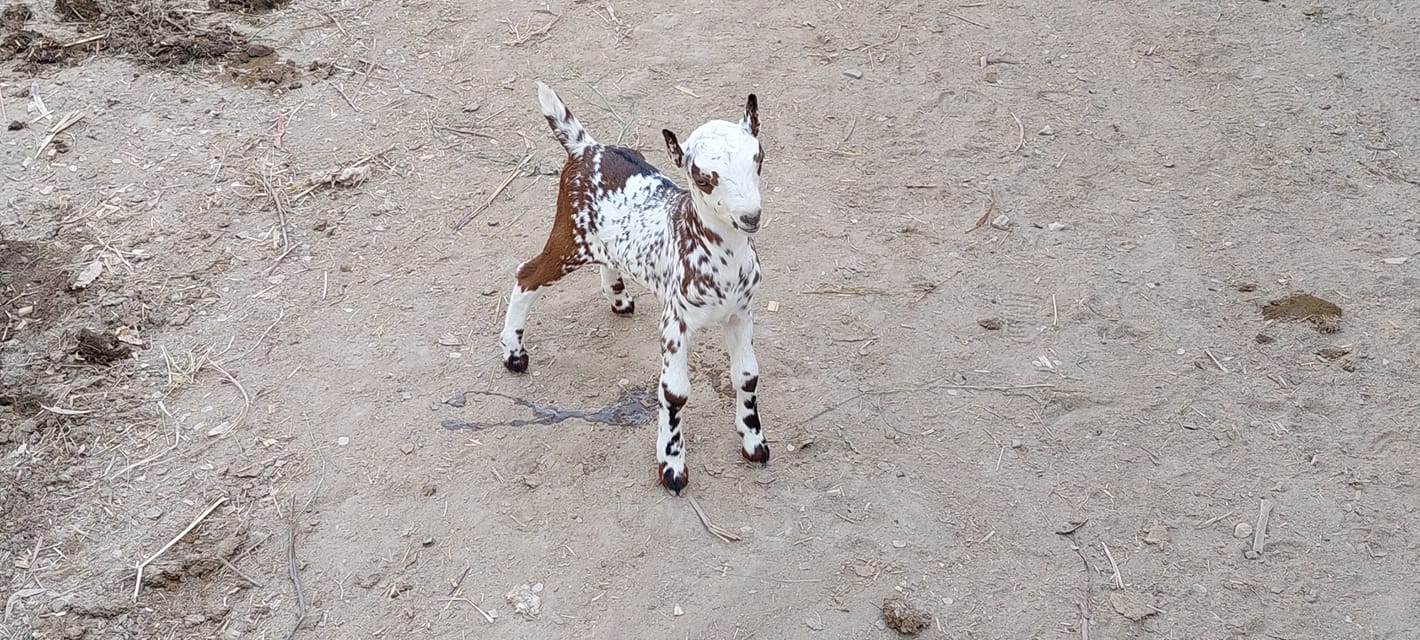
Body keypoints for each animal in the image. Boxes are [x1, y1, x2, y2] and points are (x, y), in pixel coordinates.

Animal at [498, 82, 768, 494]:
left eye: (759, 159)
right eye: (703, 178)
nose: (750, 217)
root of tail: (585, 147)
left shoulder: (740, 313)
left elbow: (747, 375)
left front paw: (754, 442)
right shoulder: (674, 324)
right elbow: (674, 393)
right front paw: (671, 466)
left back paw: (619, 296)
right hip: (569, 240)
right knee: (526, 274)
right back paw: (514, 352)